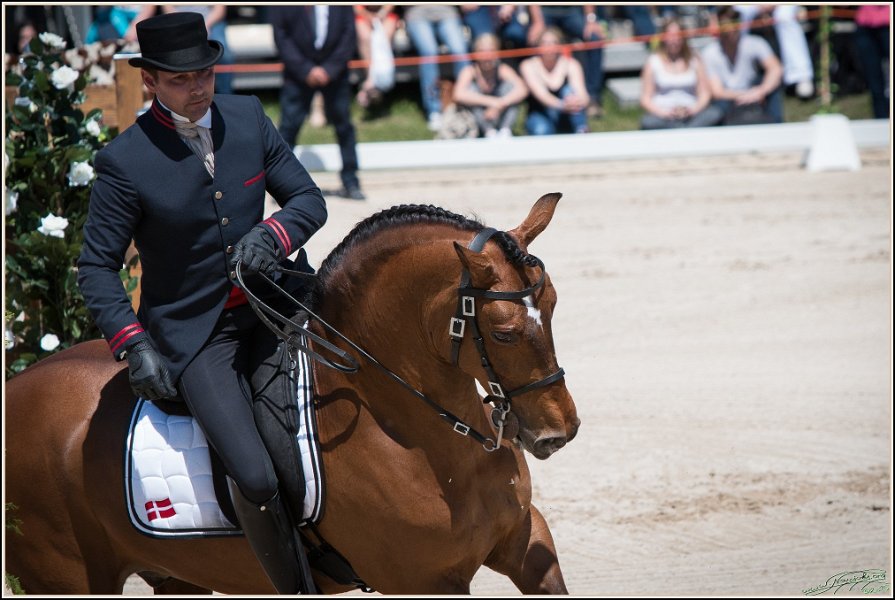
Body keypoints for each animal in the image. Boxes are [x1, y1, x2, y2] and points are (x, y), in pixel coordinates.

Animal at [4, 193, 580, 594]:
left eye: (553, 305)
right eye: (502, 332)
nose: (560, 431)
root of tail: (16, 390)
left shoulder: (526, 541)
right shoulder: (424, 581)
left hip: (176, 574)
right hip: (66, 575)